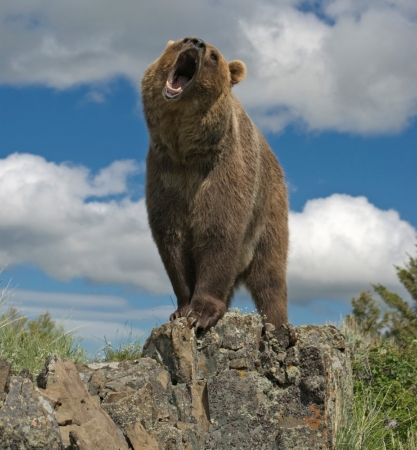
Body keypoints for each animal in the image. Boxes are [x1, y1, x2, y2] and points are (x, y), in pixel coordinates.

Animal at [141, 36, 288, 330]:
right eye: (181, 41)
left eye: (214, 55)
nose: (196, 42)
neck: (185, 149)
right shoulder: (166, 174)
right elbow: (171, 238)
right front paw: (181, 309)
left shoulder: (222, 171)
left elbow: (218, 230)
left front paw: (201, 313)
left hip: (269, 210)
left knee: (270, 273)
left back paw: (277, 324)